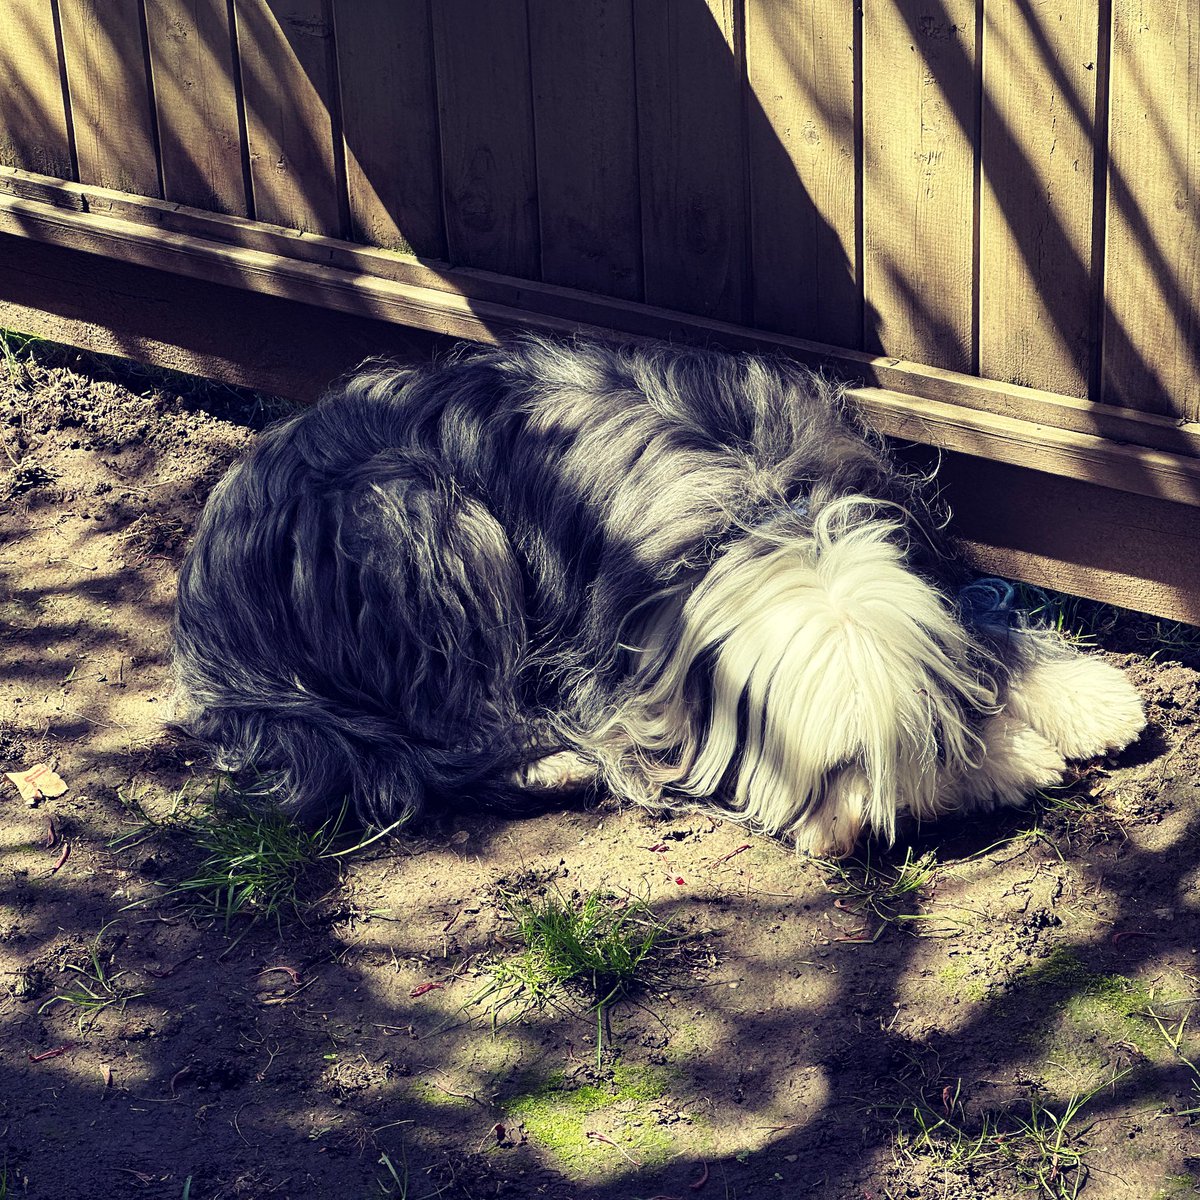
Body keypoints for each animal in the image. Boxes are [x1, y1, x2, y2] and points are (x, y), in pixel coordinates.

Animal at [174, 338, 1147, 854]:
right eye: (834, 765)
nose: (882, 827)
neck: (775, 520)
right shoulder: (628, 673)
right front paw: (1007, 762)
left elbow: (991, 626)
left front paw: (1080, 705)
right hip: (421, 521)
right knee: (434, 730)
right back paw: (543, 760)